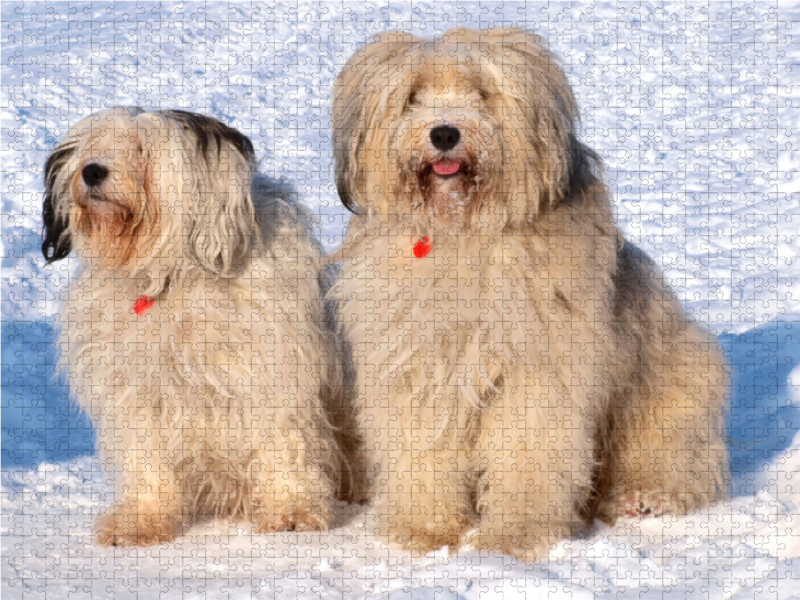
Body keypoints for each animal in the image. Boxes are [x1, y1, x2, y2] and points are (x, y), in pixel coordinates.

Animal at [43, 106, 344, 544]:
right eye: (93, 146)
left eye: (141, 148)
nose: (92, 171)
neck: (171, 279)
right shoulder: (135, 388)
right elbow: (146, 457)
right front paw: (142, 518)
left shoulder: (274, 373)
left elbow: (285, 443)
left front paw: (293, 509)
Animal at [326, 27, 732, 564]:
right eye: (412, 96)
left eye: (482, 93)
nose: (444, 133)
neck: (463, 234)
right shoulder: (415, 367)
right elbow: (422, 449)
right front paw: (425, 530)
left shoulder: (538, 372)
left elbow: (528, 453)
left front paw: (514, 537)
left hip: (679, 375)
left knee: (682, 459)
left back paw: (644, 496)